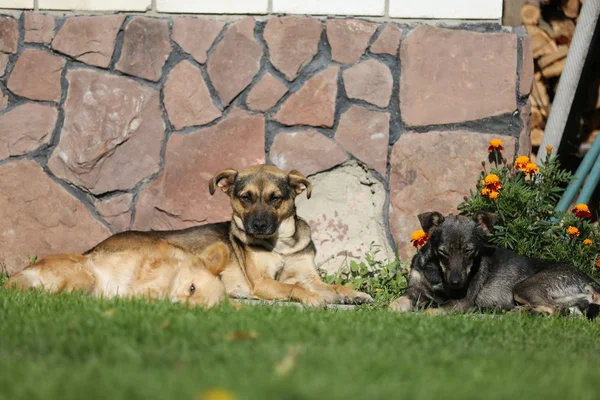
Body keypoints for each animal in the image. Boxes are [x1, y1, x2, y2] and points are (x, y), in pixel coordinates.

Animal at [89, 165, 372, 306]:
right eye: (245, 197)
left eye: (275, 198)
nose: (258, 225)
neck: (281, 245)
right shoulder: (263, 282)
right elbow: (292, 287)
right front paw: (313, 298)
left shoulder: (309, 276)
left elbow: (331, 286)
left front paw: (355, 294)